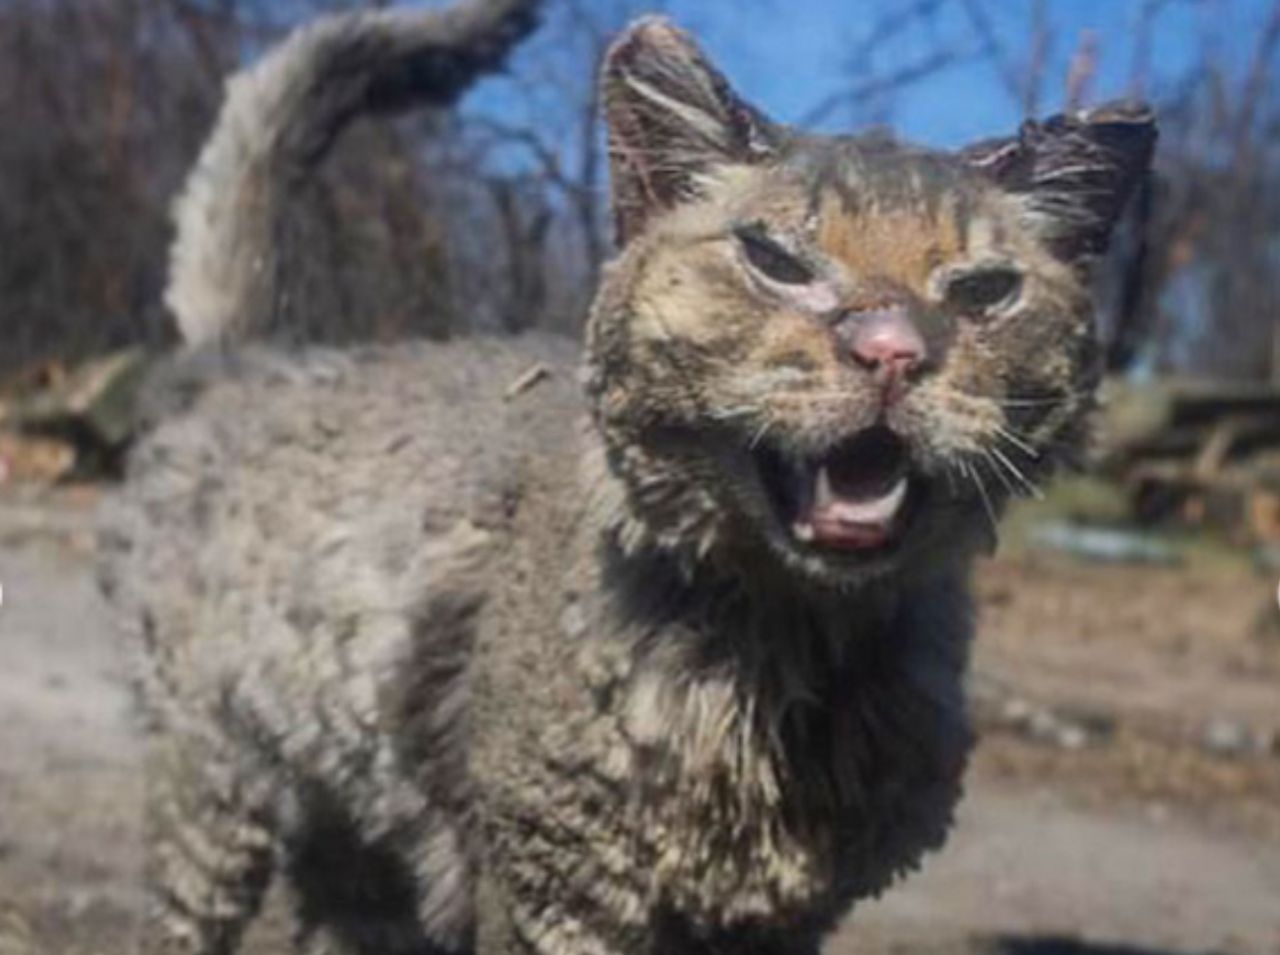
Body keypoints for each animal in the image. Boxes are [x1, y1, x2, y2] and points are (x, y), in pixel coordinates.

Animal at [97, 3, 1162, 947]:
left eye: (986, 291)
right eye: (775, 258)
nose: (892, 349)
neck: (777, 667)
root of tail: (259, 356)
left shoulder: (778, 922)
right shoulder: (557, 892)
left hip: (360, 833)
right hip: (212, 792)